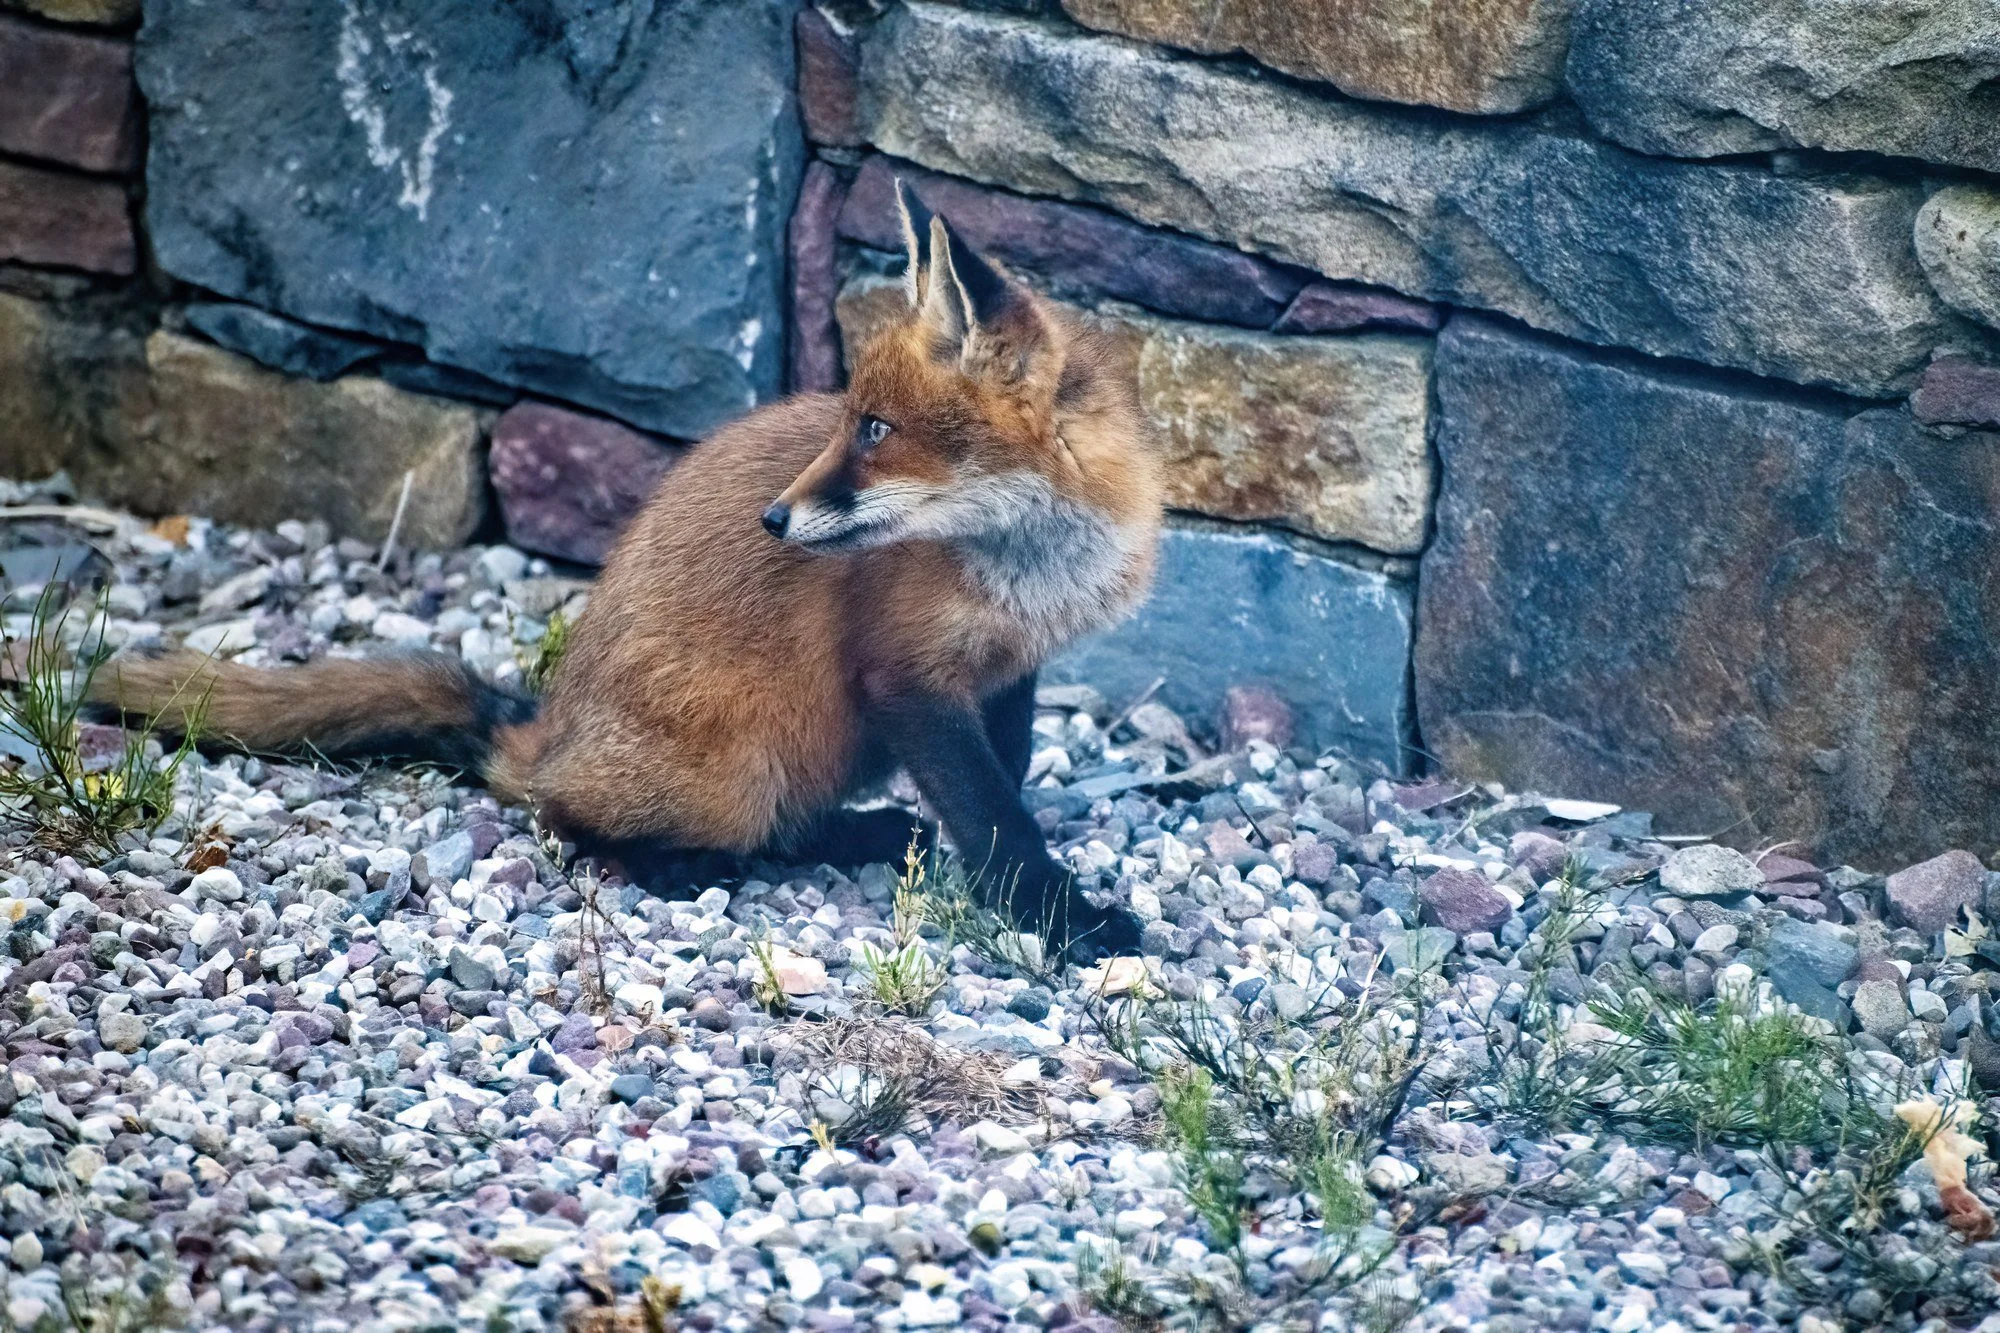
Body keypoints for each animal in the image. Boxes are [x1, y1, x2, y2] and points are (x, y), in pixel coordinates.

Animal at [95, 182, 1164, 957]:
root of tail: (543, 727)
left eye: (874, 430)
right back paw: (681, 863)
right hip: (743, 763)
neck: (1029, 565)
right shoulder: (907, 676)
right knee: (561, 814)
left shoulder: (1009, 671)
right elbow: (997, 820)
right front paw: (1062, 920)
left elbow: (1003, 793)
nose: (774, 518)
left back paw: (856, 835)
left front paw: (1011, 893)